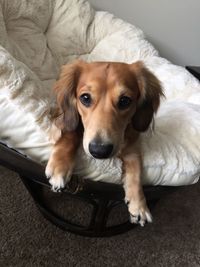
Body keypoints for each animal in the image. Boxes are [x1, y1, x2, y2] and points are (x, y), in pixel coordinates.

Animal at [45, 60, 164, 226]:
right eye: (85, 98)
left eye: (125, 101)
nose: (99, 151)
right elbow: (70, 134)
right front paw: (60, 167)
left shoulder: (131, 149)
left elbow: (136, 172)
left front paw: (139, 205)